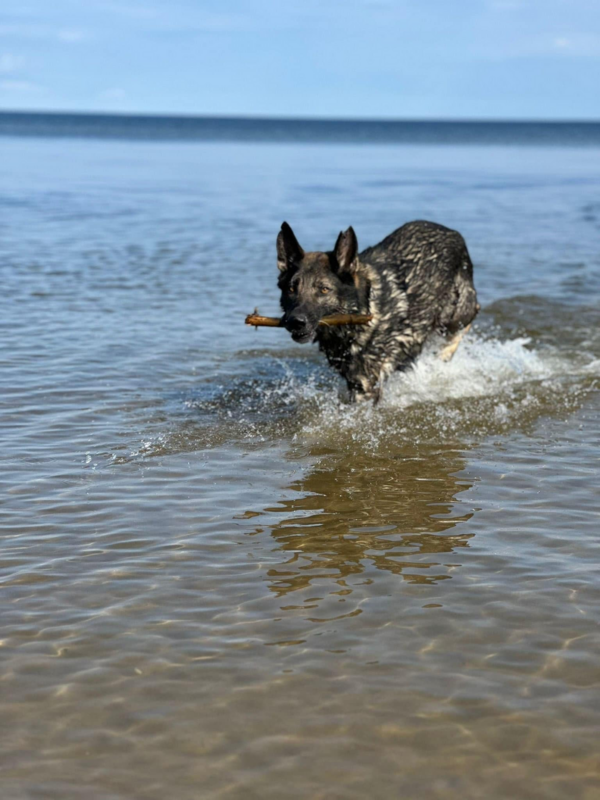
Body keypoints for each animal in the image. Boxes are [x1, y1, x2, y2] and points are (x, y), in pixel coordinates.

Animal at [278, 219, 480, 404]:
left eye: (324, 290)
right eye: (291, 289)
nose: (296, 321)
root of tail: (453, 233)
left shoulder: (366, 386)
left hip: (456, 313)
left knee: (467, 319)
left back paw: (445, 352)